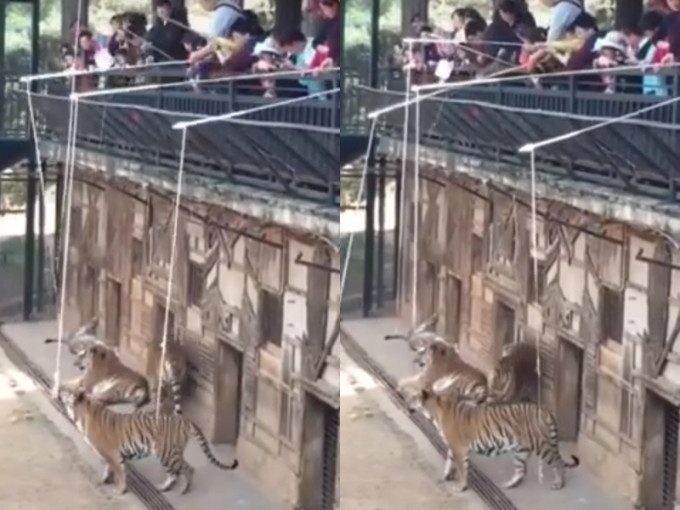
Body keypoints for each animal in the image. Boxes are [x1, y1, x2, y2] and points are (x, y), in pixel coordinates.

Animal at [58, 386, 239, 494]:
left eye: (68, 392)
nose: (60, 389)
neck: (82, 413)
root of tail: (184, 420)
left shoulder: (111, 453)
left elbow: (119, 471)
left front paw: (120, 489)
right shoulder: (107, 454)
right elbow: (108, 467)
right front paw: (105, 480)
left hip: (166, 452)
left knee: (187, 469)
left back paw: (183, 490)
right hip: (171, 453)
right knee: (175, 472)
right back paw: (165, 487)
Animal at [412, 378, 580, 490]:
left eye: (415, 397)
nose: (408, 403)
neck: (435, 411)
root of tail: (544, 409)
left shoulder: (459, 448)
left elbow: (461, 468)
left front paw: (461, 486)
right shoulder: (453, 447)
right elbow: (449, 461)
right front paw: (445, 476)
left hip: (541, 445)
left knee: (557, 462)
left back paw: (558, 484)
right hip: (521, 449)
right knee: (521, 470)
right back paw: (508, 485)